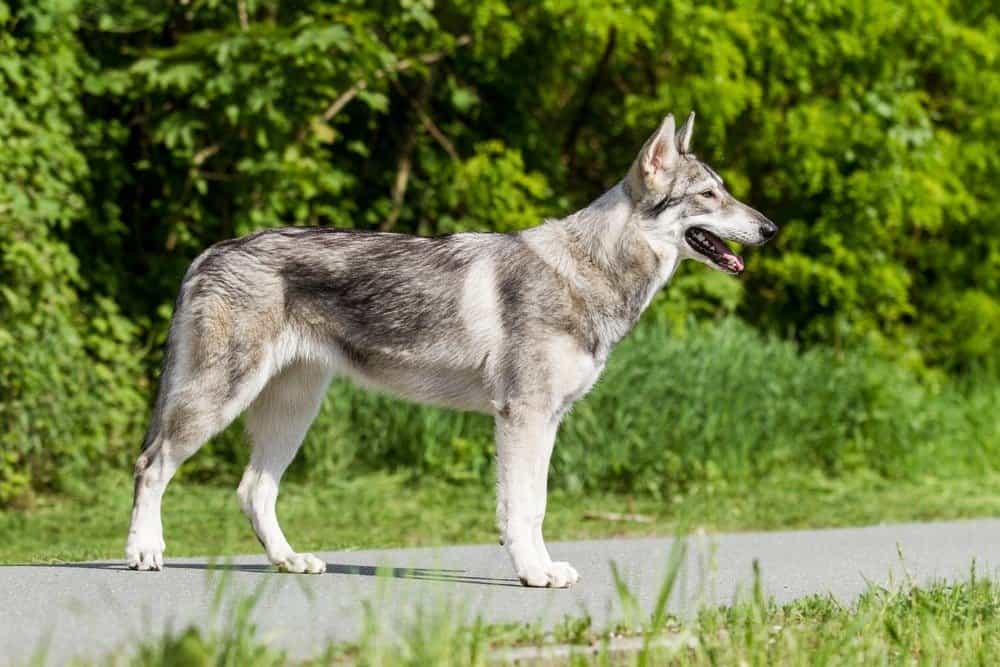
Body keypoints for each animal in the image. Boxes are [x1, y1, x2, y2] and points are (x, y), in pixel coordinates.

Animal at [127, 115, 780, 588]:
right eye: (709, 195)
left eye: (726, 192)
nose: (772, 228)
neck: (588, 270)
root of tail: (210, 251)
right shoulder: (522, 418)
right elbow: (522, 508)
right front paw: (534, 574)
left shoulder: (547, 421)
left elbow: (536, 506)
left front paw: (542, 568)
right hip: (217, 401)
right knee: (150, 465)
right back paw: (145, 552)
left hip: (291, 413)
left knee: (253, 491)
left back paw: (291, 562)